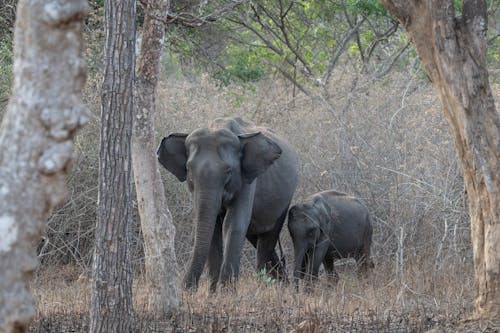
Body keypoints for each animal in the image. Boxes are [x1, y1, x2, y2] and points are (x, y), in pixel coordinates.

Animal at [157, 116, 296, 288]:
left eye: (229, 171)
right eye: (188, 169)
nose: (187, 289)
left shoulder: (247, 179)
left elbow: (233, 223)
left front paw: (226, 291)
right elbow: (212, 227)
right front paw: (213, 292)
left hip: (284, 202)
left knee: (267, 240)